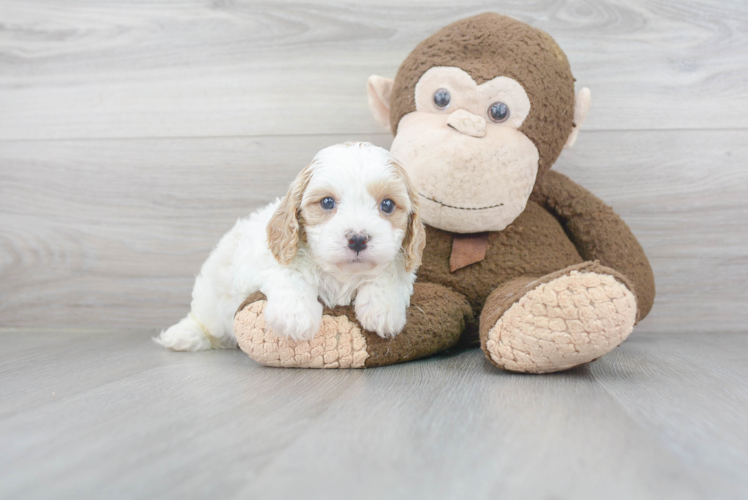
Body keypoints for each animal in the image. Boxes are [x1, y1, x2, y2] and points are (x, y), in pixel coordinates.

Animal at [156, 141, 426, 352]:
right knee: (203, 319)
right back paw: (183, 335)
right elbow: (288, 275)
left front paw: (383, 311)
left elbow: (390, 273)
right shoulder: (260, 263)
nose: (357, 239)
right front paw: (296, 317)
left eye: (387, 205)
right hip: (211, 295)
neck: (340, 274)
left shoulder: (403, 262)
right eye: (327, 202)